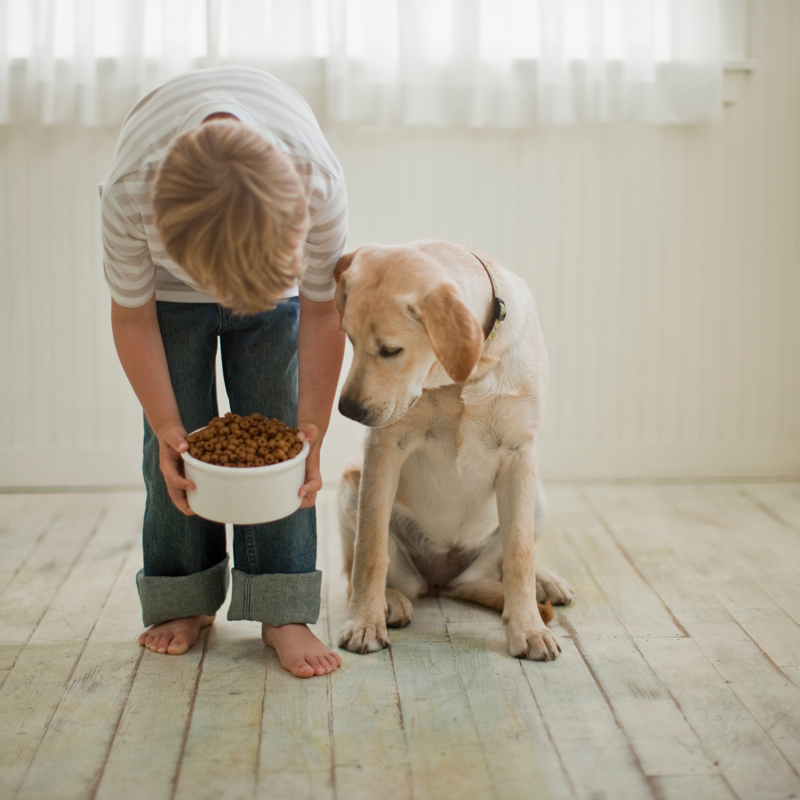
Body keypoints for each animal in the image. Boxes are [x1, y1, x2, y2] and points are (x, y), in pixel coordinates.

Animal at [334, 239, 572, 664]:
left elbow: (520, 554)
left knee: (507, 561)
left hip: (536, 495)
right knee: (355, 569)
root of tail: (443, 583)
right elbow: (370, 551)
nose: (348, 410)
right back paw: (389, 601)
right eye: (350, 340)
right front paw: (364, 622)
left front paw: (528, 628)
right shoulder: (383, 449)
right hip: (351, 485)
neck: (465, 376)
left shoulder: (519, 453)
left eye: (390, 350)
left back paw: (543, 583)